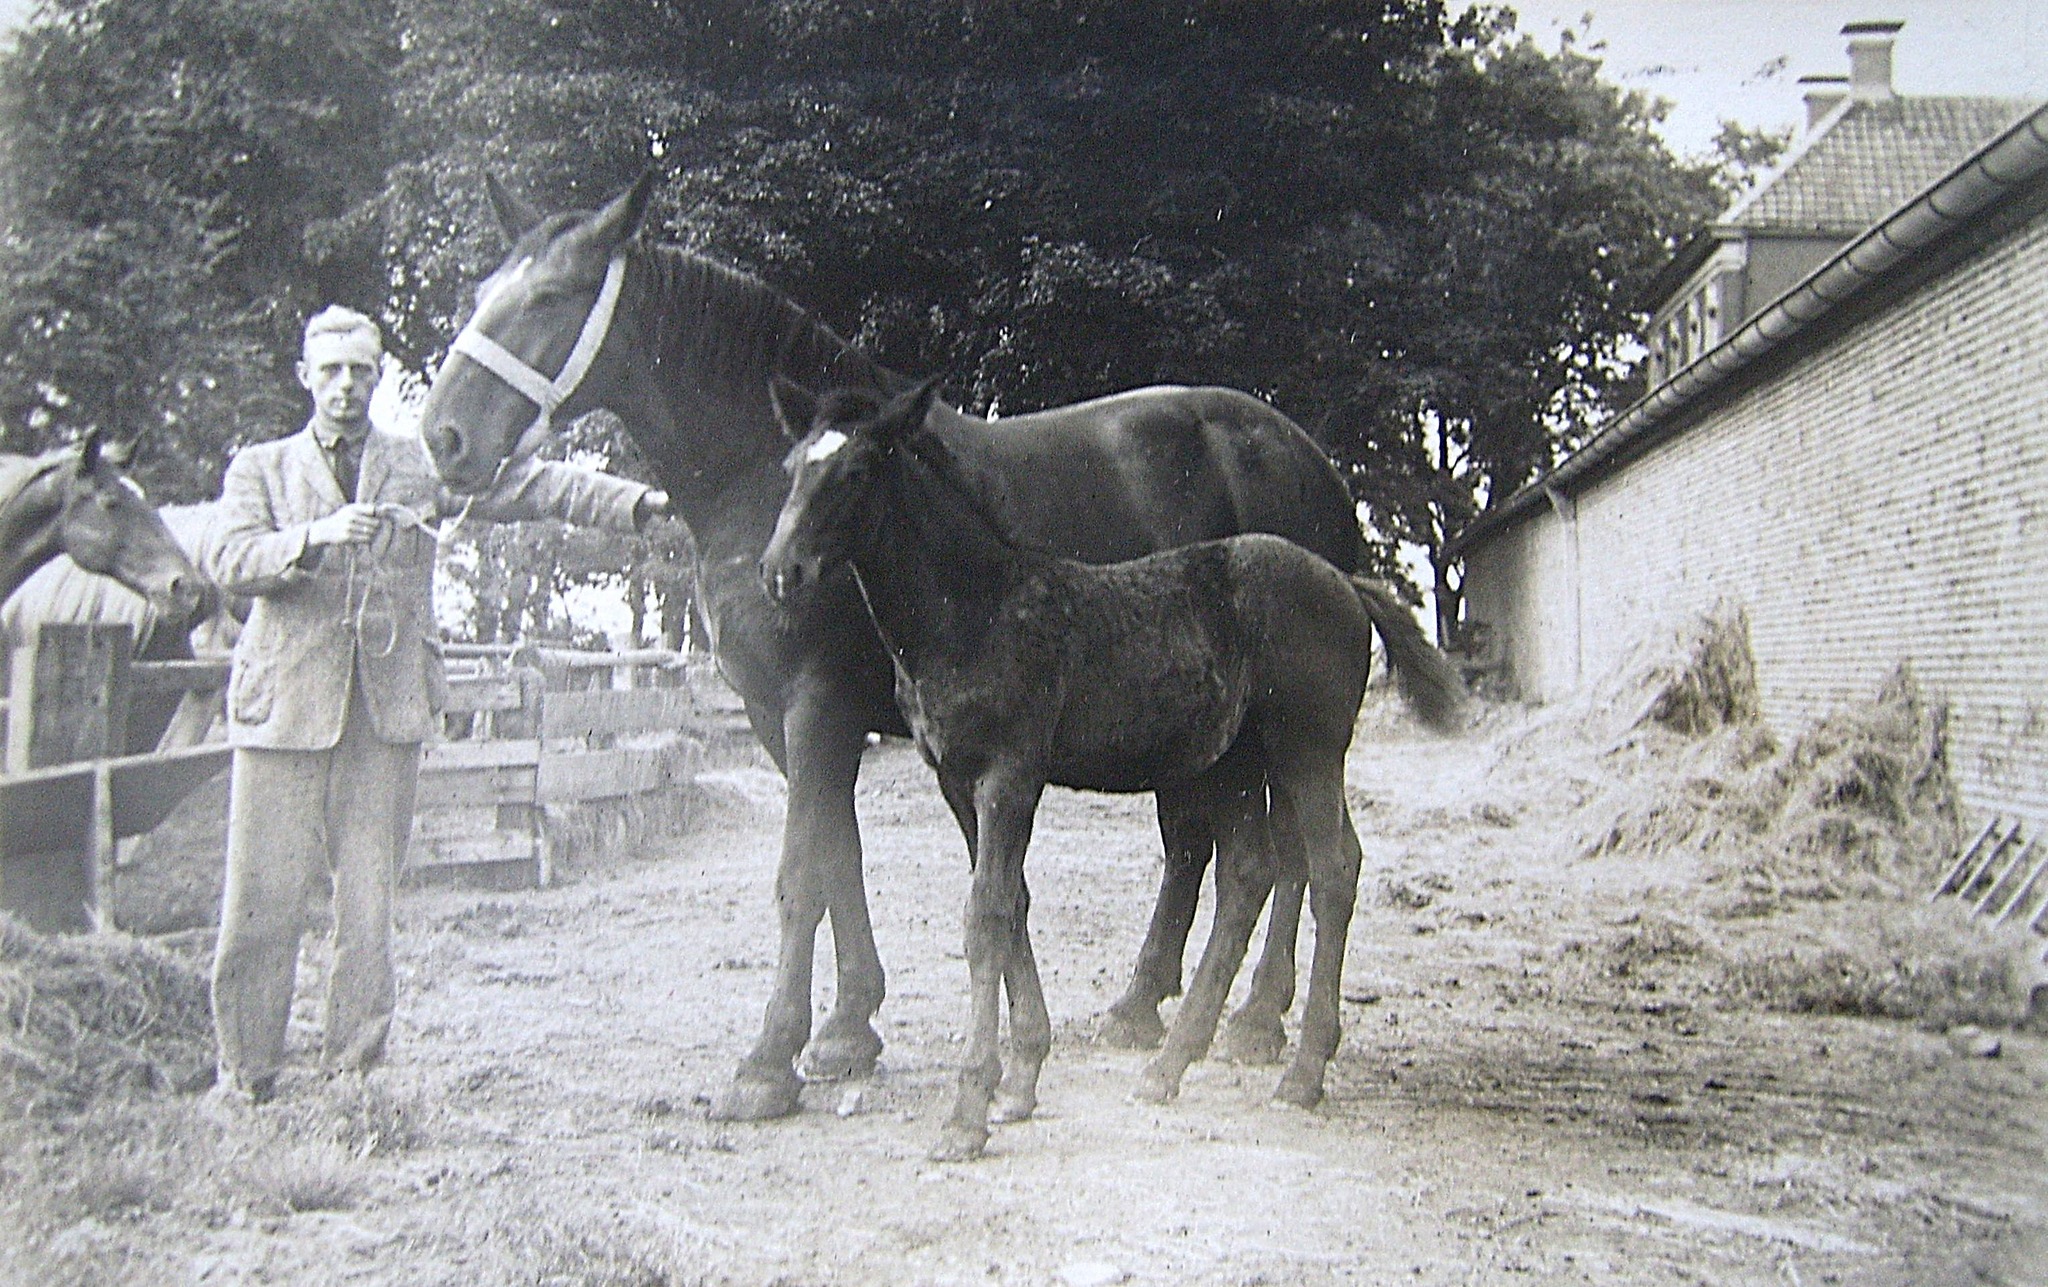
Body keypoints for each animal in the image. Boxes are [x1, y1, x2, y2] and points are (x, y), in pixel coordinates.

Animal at [419, 168, 1376, 1114]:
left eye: (549, 297)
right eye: (485, 290)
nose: (443, 438)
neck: (759, 483)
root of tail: (1315, 468)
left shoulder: (818, 706)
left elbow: (801, 874)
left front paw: (769, 1060)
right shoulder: (782, 717)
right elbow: (840, 857)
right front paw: (849, 1029)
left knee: (1283, 854)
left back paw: (1254, 1022)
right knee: (1219, 852)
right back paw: (1155, 1009)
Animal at [761, 377, 1466, 1164]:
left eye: (855, 472)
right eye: (789, 468)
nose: (779, 571)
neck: (976, 610)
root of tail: (1343, 580)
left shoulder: (1010, 776)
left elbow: (987, 914)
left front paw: (968, 1110)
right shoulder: (958, 783)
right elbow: (1014, 905)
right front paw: (1021, 1081)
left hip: (1307, 749)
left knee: (1330, 868)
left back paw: (1301, 1068)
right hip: (1238, 762)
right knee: (1252, 871)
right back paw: (1172, 1063)